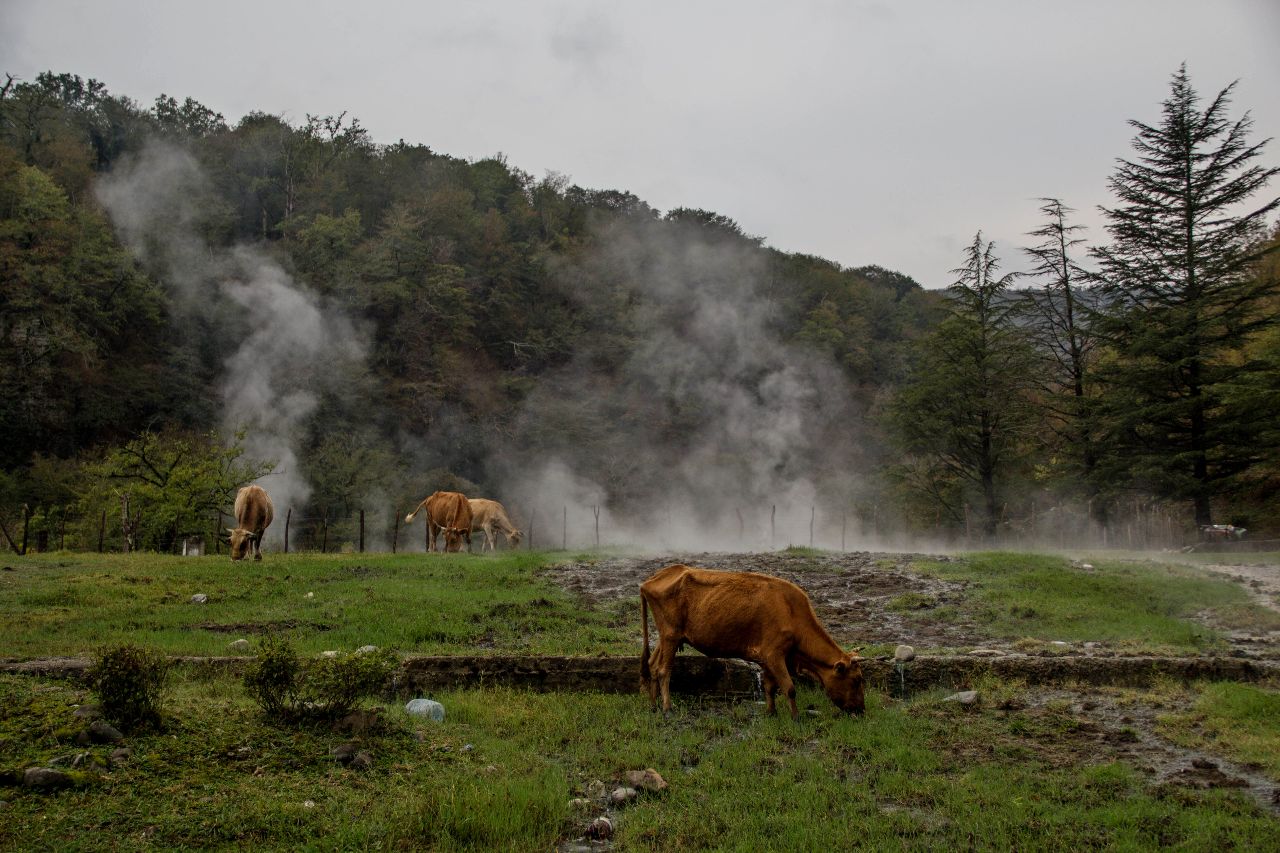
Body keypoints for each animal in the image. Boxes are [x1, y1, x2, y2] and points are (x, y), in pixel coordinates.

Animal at [637, 563, 865, 717]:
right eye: (856, 680)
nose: (861, 710)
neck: (791, 611)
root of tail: (653, 579)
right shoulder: (774, 654)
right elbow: (789, 688)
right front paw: (796, 717)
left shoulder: (766, 658)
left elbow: (770, 686)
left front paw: (771, 712)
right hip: (670, 635)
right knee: (663, 670)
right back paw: (667, 708)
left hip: (667, 637)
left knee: (652, 665)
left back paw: (653, 705)